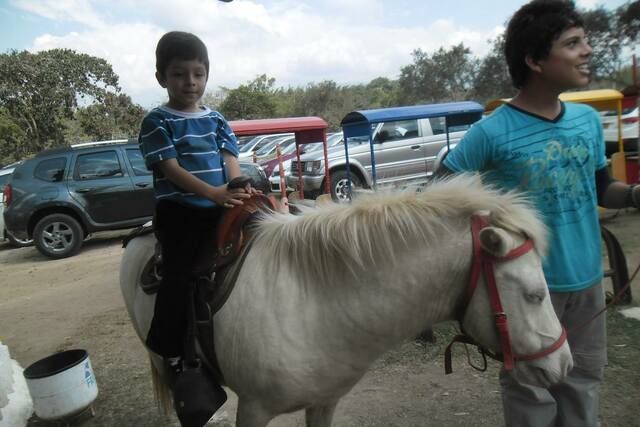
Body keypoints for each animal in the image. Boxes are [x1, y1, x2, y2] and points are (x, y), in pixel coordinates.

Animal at [120, 174, 572, 427]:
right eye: (535, 295)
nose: (564, 365)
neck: (311, 299)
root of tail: (141, 233)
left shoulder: (324, 402)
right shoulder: (253, 409)